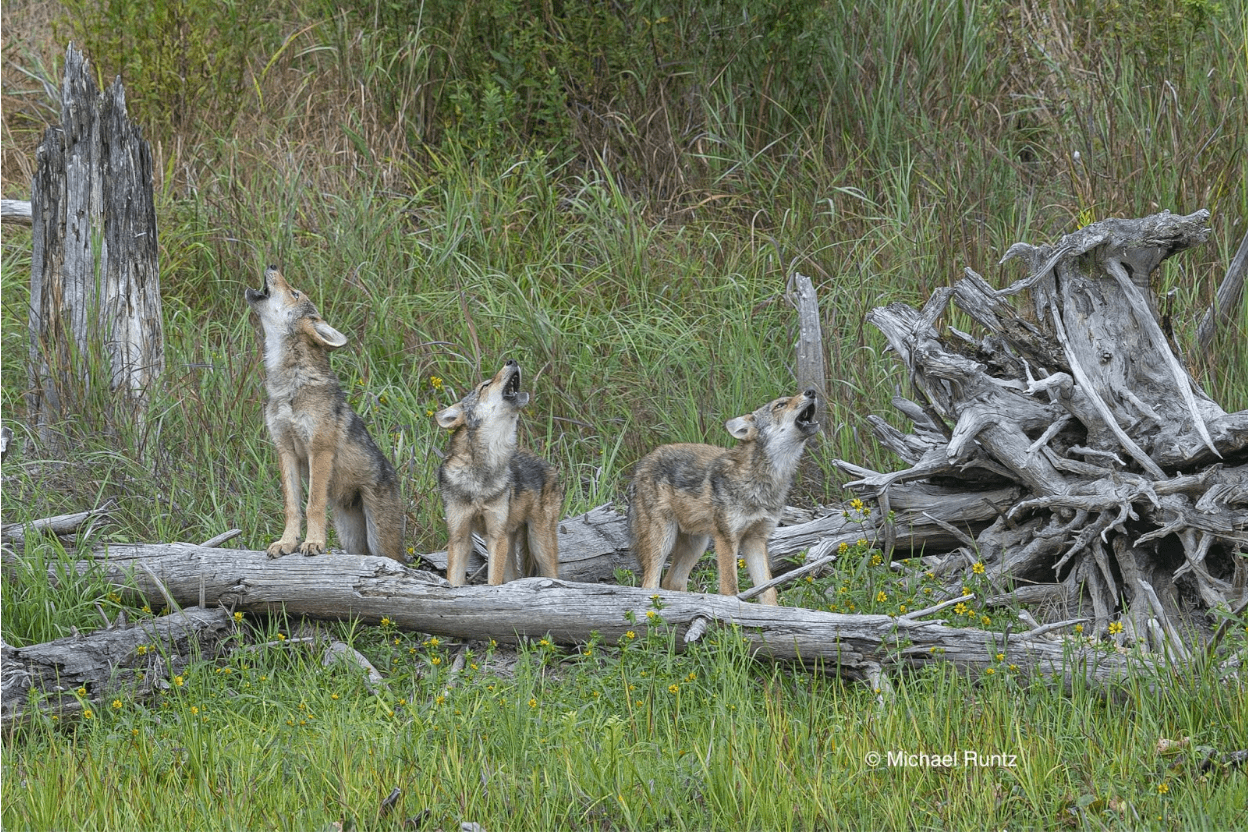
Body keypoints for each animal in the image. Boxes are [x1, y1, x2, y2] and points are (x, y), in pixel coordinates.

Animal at [245, 266, 405, 561]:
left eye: (295, 293)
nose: (272, 265)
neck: (290, 386)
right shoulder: (285, 451)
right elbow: (292, 507)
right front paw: (286, 543)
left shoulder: (318, 450)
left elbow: (313, 504)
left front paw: (313, 543)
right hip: (351, 537)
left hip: (381, 540)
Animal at [435, 359, 562, 586]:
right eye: (485, 386)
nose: (512, 360)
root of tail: (546, 463)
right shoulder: (459, 537)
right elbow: (455, 581)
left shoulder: (496, 536)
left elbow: (493, 583)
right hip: (512, 543)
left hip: (539, 543)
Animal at [629, 388, 820, 605]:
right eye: (780, 405)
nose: (811, 391)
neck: (762, 481)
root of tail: (642, 462)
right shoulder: (727, 538)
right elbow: (730, 589)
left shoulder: (756, 540)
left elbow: (768, 591)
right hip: (664, 540)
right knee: (649, 584)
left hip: (697, 545)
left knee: (672, 582)